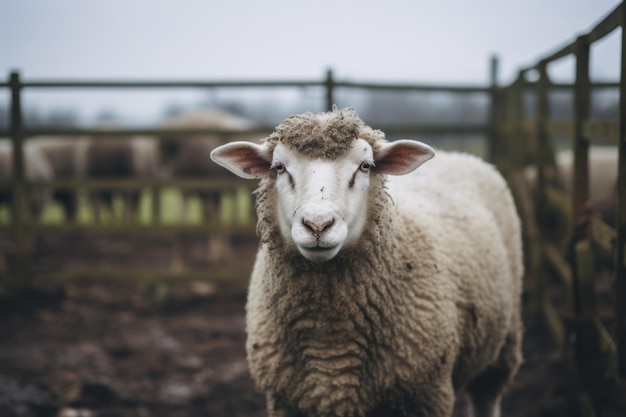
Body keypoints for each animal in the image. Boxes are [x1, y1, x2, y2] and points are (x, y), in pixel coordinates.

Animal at [210, 105, 520, 414]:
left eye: (365, 166)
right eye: (279, 167)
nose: (318, 225)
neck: (330, 345)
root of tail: (456, 154)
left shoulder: (427, 396)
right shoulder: (284, 401)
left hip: (503, 344)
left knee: (487, 394)